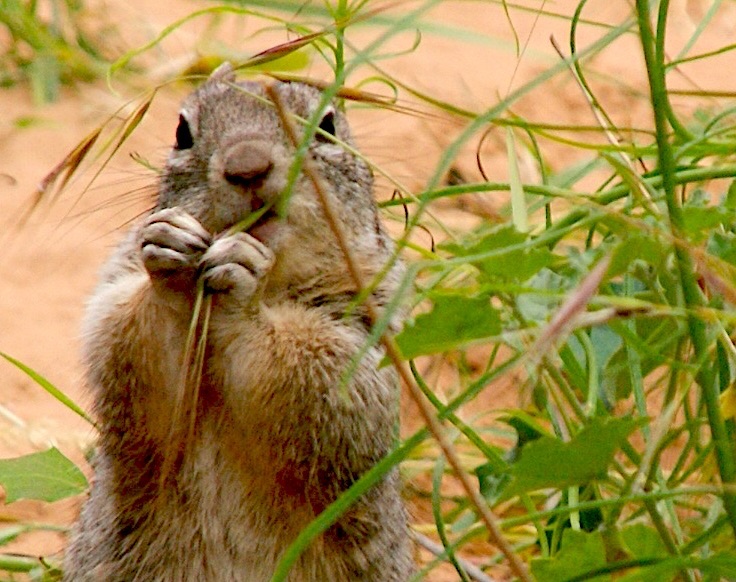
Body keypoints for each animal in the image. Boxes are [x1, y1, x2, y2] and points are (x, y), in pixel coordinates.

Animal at [63, 63, 412, 581]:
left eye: (328, 125)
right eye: (181, 132)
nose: (247, 165)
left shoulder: (368, 324)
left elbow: (331, 386)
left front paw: (241, 287)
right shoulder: (114, 287)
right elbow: (121, 347)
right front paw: (170, 259)